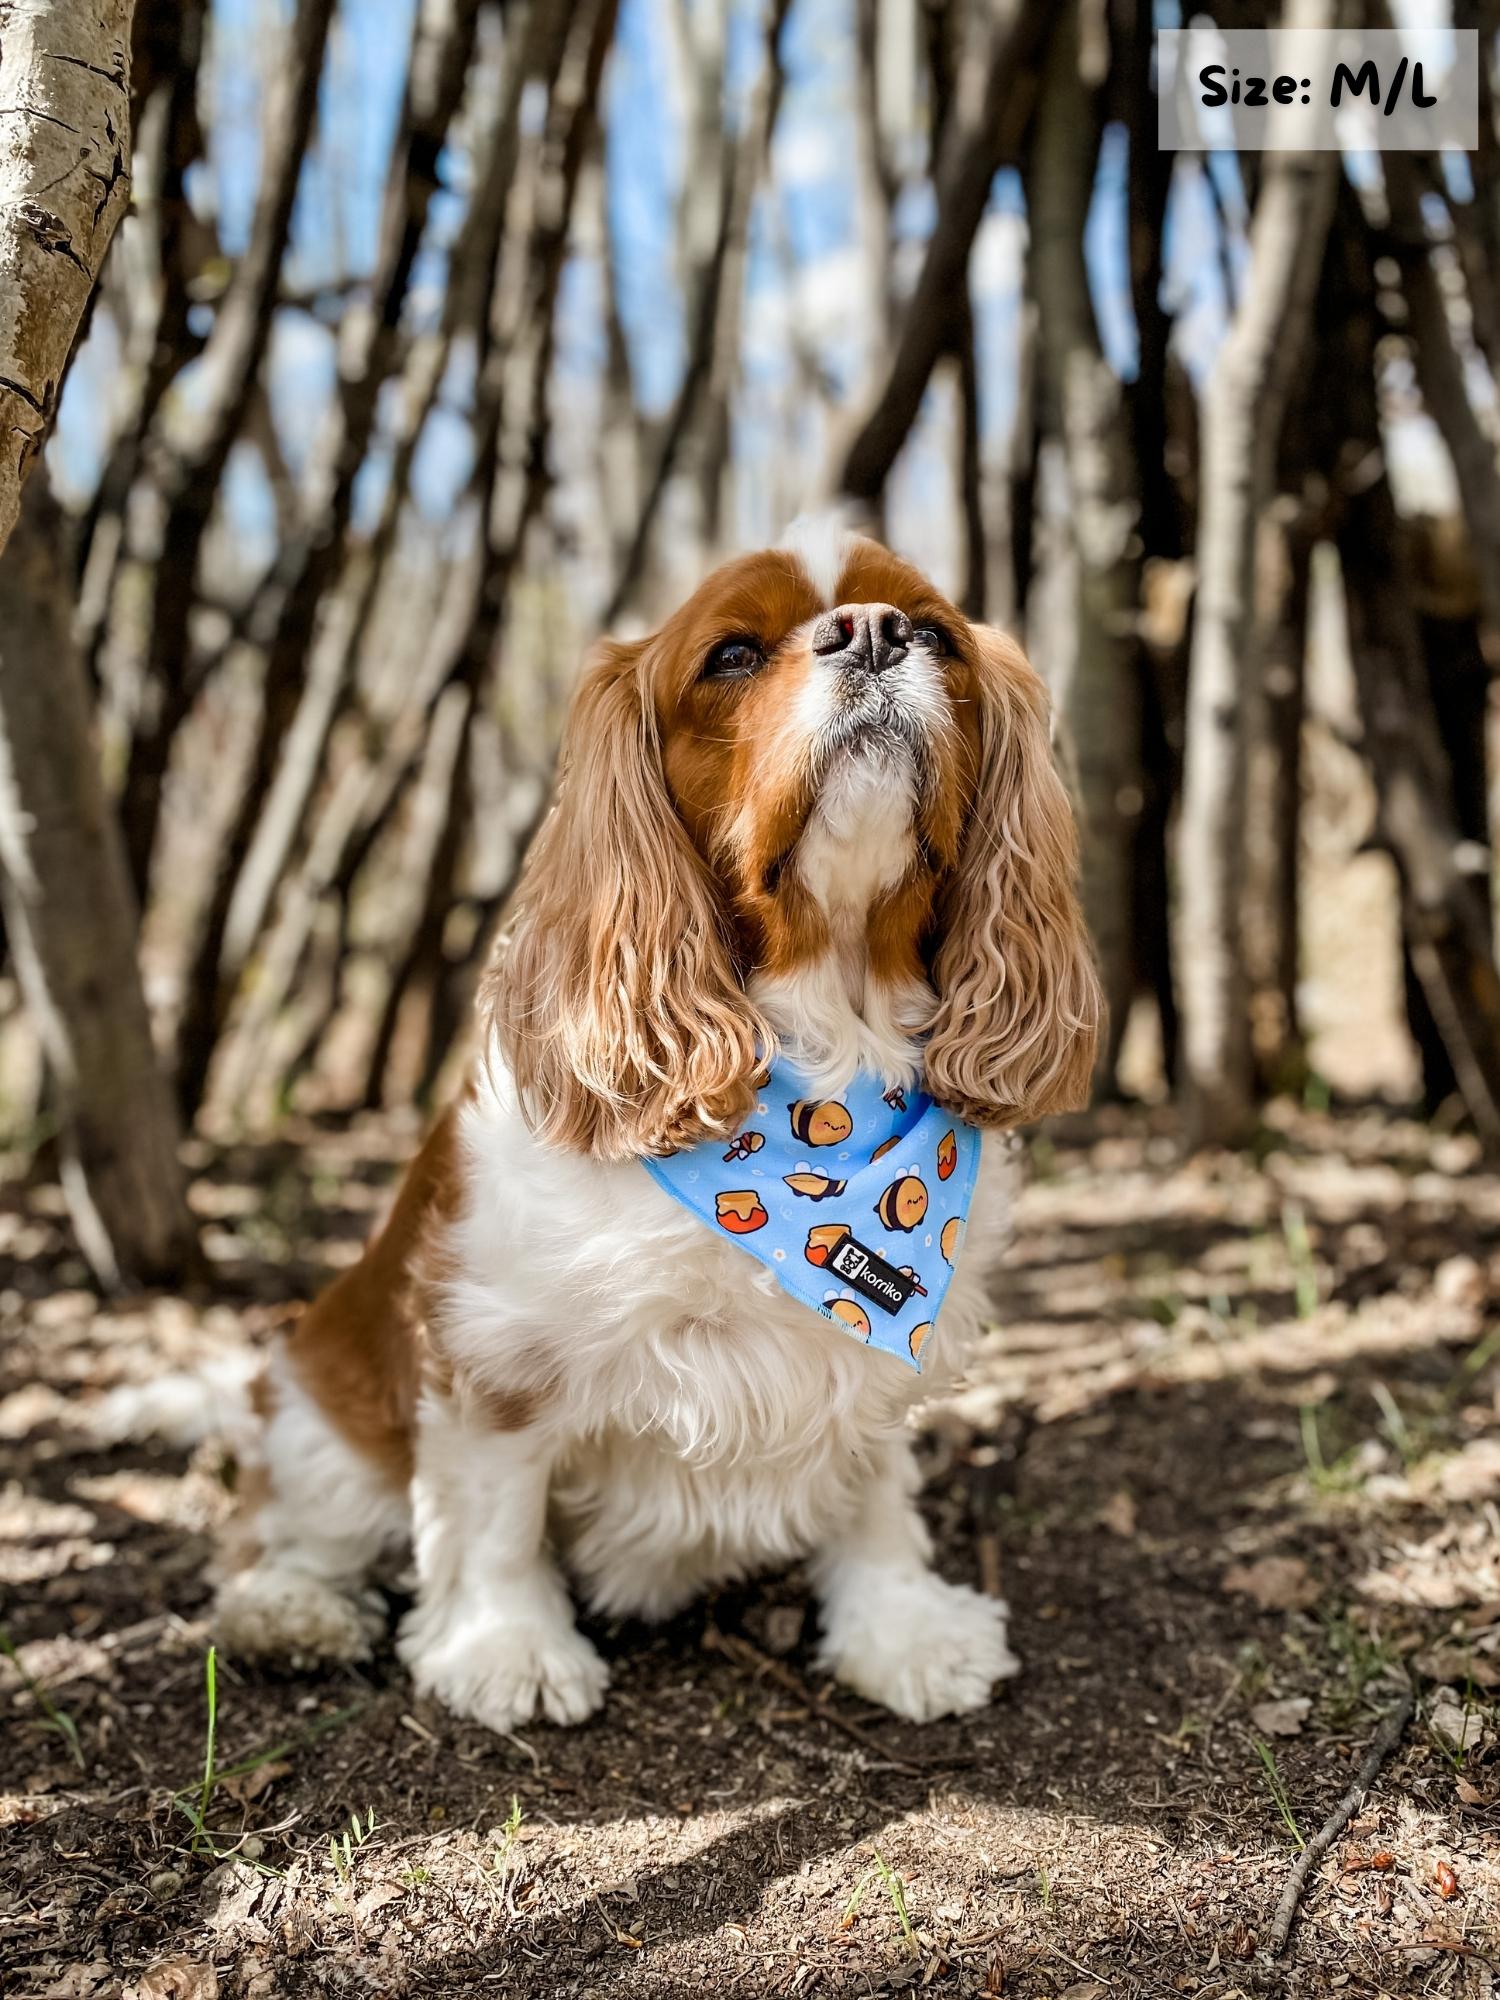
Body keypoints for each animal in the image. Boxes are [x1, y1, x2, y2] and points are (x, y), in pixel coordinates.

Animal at [214, 528, 1104, 1736]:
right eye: (730, 654)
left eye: (937, 634)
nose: (873, 632)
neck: (822, 1079)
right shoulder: (495, 1351)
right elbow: (494, 1509)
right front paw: (506, 1646)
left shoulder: (873, 1350)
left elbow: (874, 1488)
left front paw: (900, 1627)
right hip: (324, 1424)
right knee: (283, 1532)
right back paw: (292, 1614)